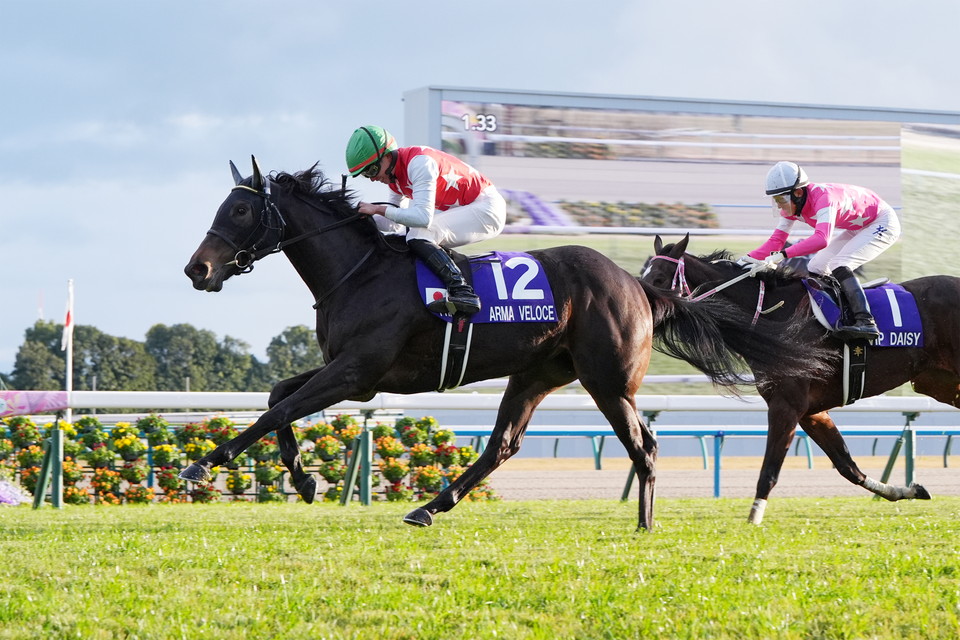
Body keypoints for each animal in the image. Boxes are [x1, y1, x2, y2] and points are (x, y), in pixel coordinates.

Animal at [181, 157, 829, 531]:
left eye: (241, 210)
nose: (197, 269)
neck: (359, 271)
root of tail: (640, 286)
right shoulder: (351, 372)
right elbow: (277, 397)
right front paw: (303, 478)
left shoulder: (359, 372)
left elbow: (282, 407)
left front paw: (204, 462)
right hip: (537, 373)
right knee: (503, 445)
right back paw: (429, 507)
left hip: (607, 380)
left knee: (643, 445)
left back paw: (644, 526)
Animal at [642, 234, 949, 524]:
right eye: (642, 275)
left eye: (659, 278)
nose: (641, 310)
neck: (776, 313)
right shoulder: (812, 412)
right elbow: (847, 466)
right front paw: (908, 490)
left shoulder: (786, 405)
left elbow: (770, 469)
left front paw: (754, 517)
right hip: (938, 382)